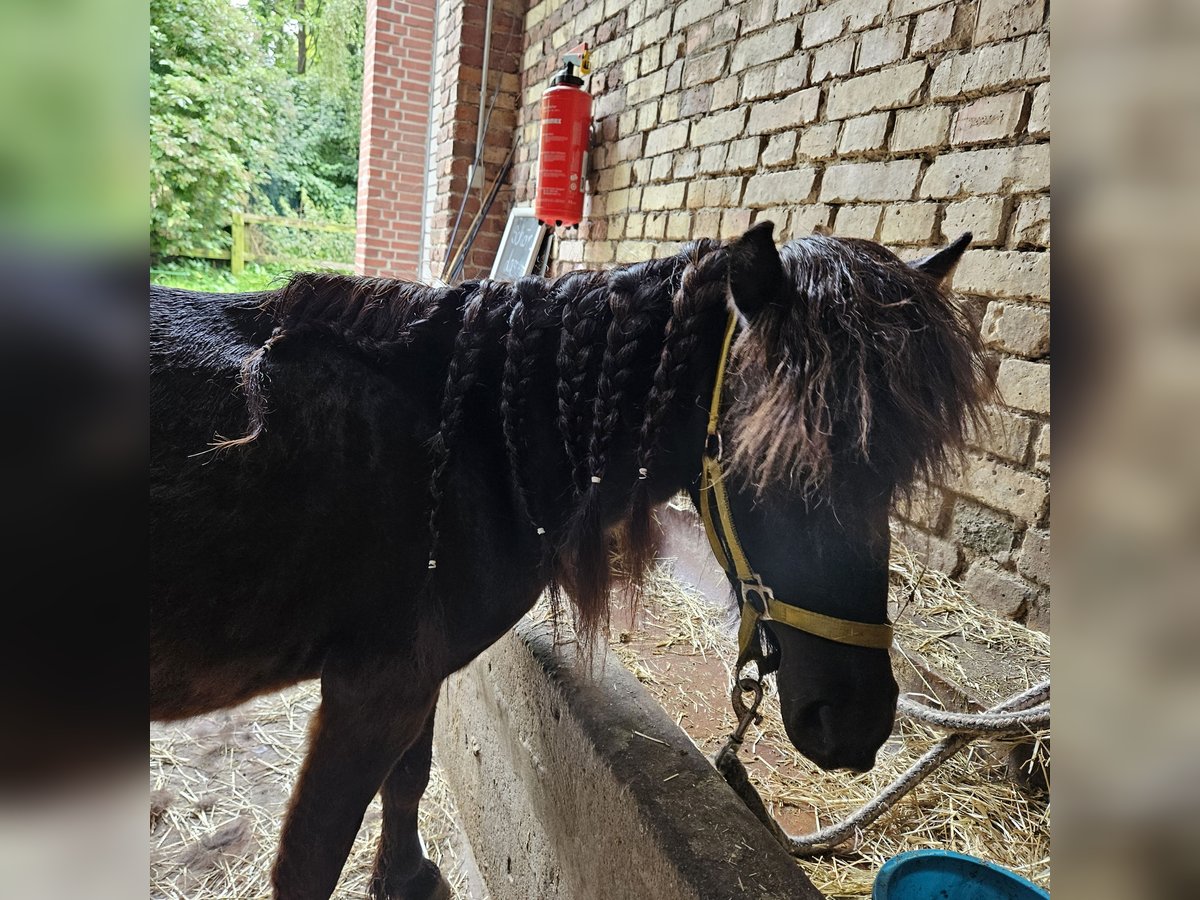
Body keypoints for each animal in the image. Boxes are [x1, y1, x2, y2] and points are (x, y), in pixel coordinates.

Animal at [150, 220, 988, 900]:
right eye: (777, 457)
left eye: (898, 474)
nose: (857, 722)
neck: (473, 442)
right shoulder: (373, 689)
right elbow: (312, 860)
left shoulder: (414, 673)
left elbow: (410, 777)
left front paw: (408, 879)